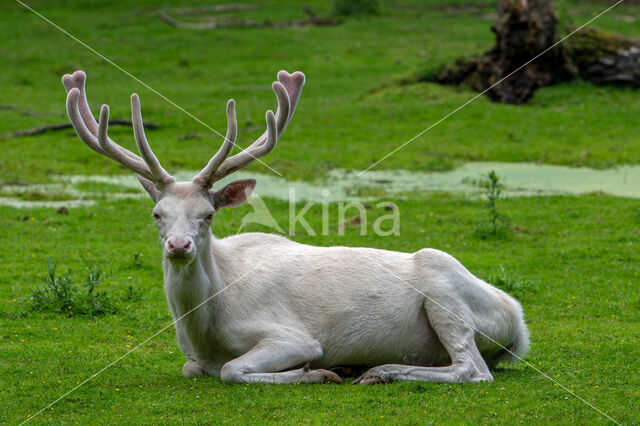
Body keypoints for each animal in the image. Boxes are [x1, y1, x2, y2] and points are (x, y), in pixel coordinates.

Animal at [61, 70, 528, 386]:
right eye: (157, 214)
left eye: (208, 215)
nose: (178, 246)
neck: (206, 328)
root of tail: (518, 322)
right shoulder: (194, 358)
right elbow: (192, 368)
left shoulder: (293, 336)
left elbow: (233, 370)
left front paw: (319, 372)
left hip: (443, 286)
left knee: (473, 369)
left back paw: (378, 370)